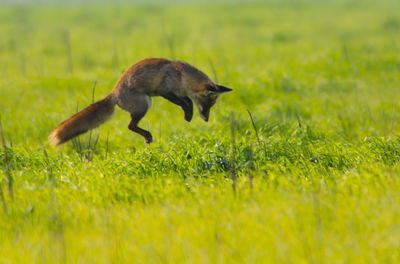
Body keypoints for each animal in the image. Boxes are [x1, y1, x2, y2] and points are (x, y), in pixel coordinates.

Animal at [48, 57, 233, 145]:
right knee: (130, 126)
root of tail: (114, 93)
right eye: (207, 105)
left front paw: (189, 114)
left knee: (131, 126)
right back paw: (146, 136)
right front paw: (188, 113)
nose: (207, 119)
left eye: (211, 106)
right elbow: (183, 102)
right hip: (145, 103)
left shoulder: (179, 92)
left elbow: (187, 100)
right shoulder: (165, 90)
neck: (182, 76)